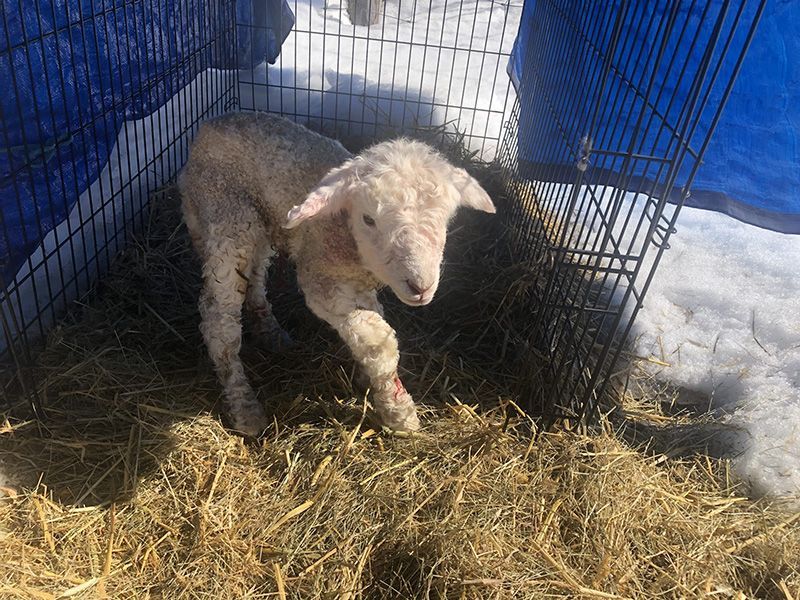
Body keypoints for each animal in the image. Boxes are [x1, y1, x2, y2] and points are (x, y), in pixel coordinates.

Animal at [178, 112, 495, 437]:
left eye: (446, 218)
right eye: (368, 219)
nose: (420, 286)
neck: (346, 234)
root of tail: (212, 123)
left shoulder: (358, 282)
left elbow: (370, 330)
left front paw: (370, 382)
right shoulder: (324, 280)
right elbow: (380, 344)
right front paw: (398, 412)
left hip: (261, 221)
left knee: (255, 274)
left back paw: (269, 329)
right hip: (225, 211)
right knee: (219, 320)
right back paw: (244, 405)